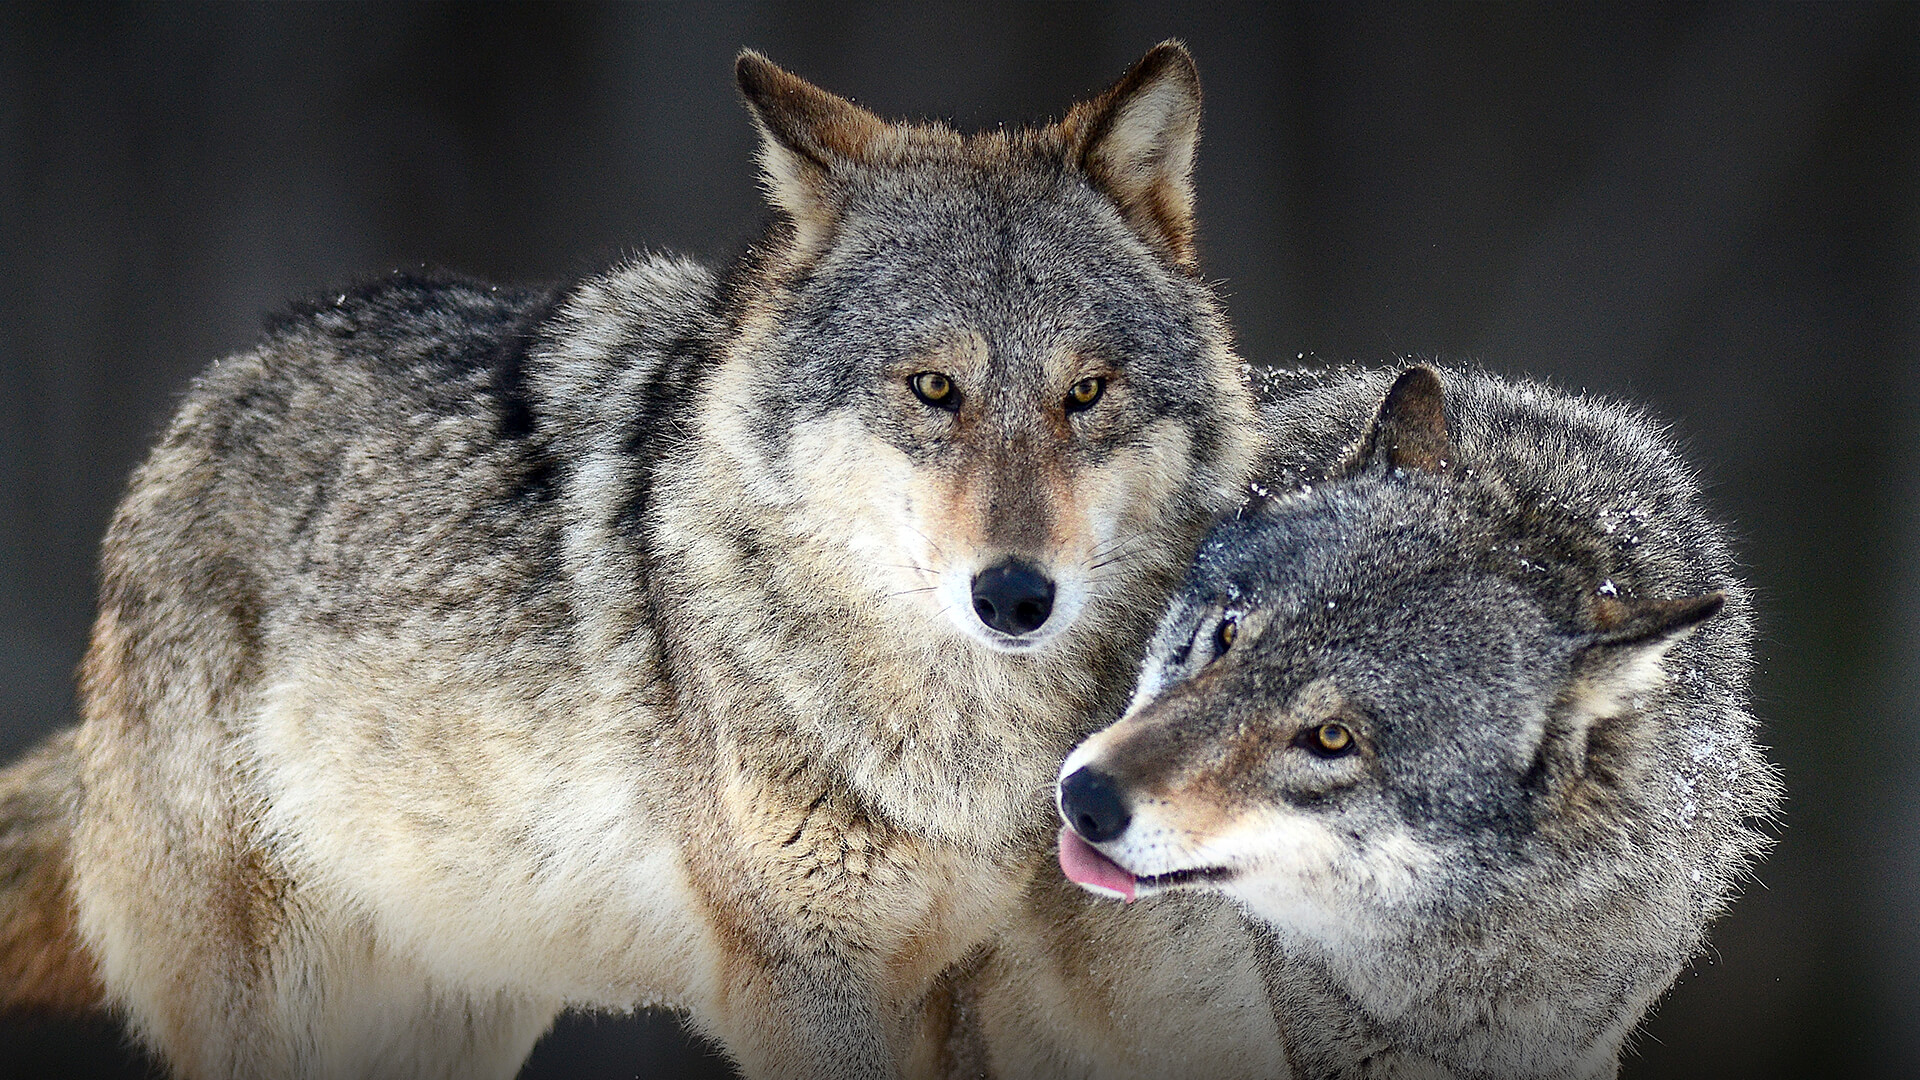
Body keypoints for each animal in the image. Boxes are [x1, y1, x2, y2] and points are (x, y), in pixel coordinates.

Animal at [0, 42, 1259, 1076]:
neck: (953, 738)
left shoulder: (965, 991)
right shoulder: (802, 979)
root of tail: (203, 402)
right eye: (934, 388)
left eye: (1085, 392)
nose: (1015, 596)